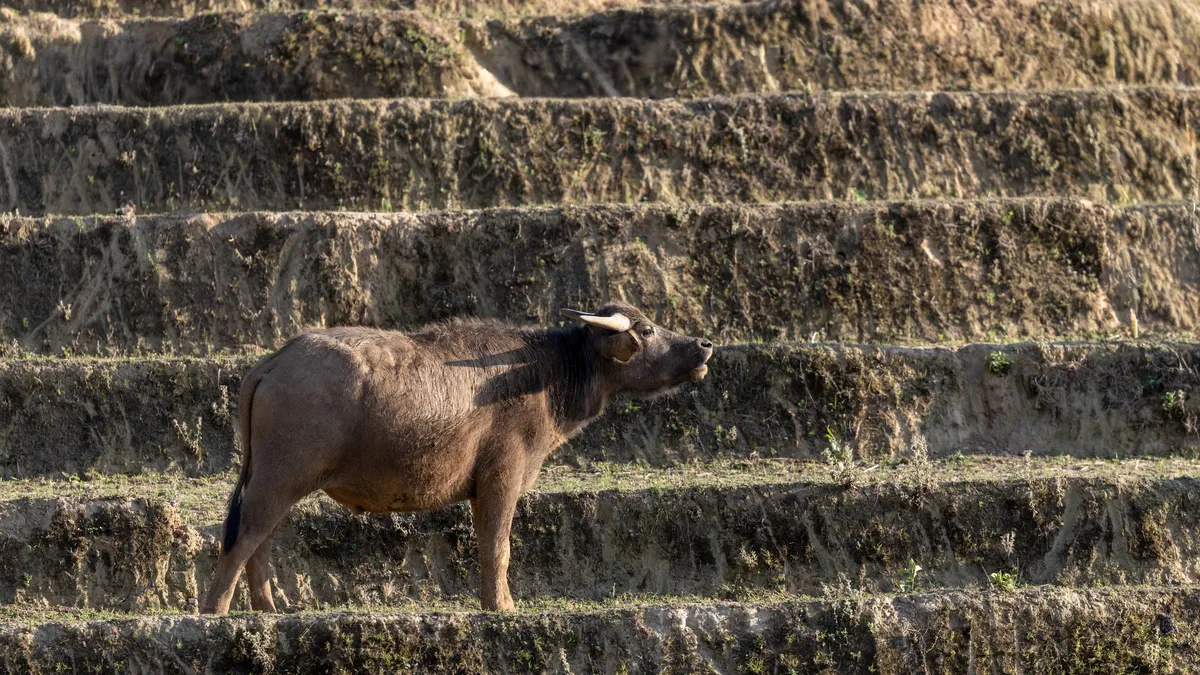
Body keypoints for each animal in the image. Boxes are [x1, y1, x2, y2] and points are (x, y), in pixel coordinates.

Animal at [201, 302, 714, 613]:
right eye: (646, 329)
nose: (703, 344)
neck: (543, 375)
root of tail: (272, 363)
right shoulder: (501, 478)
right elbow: (497, 546)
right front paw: (501, 606)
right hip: (278, 478)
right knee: (241, 539)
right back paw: (216, 612)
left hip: (275, 482)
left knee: (261, 541)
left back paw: (270, 609)